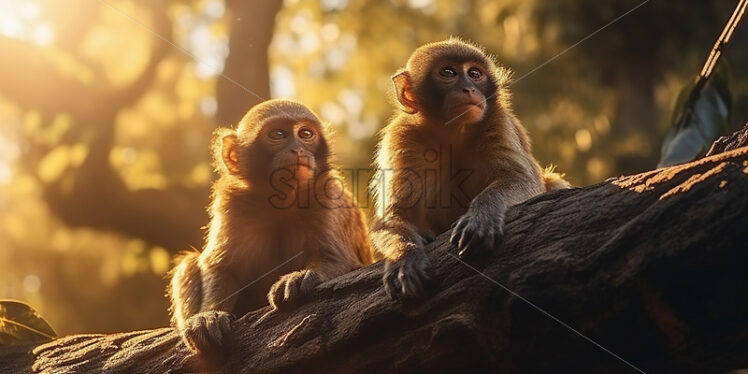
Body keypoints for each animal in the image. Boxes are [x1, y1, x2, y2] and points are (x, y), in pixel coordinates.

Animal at [167, 98, 372, 354]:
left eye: (306, 134)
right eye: (278, 134)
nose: (298, 149)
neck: (282, 202)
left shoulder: (326, 194)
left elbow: (340, 258)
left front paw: (300, 277)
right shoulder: (233, 204)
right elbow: (221, 266)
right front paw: (208, 316)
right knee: (189, 263)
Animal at [372, 38, 568, 300]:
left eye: (474, 74)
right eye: (449, 73)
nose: (469, 89)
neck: (453, 132)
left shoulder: (497, 121)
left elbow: (523, 180)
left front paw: (481, 216)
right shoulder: (402, 137)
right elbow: (394, 215)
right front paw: (405, 257)